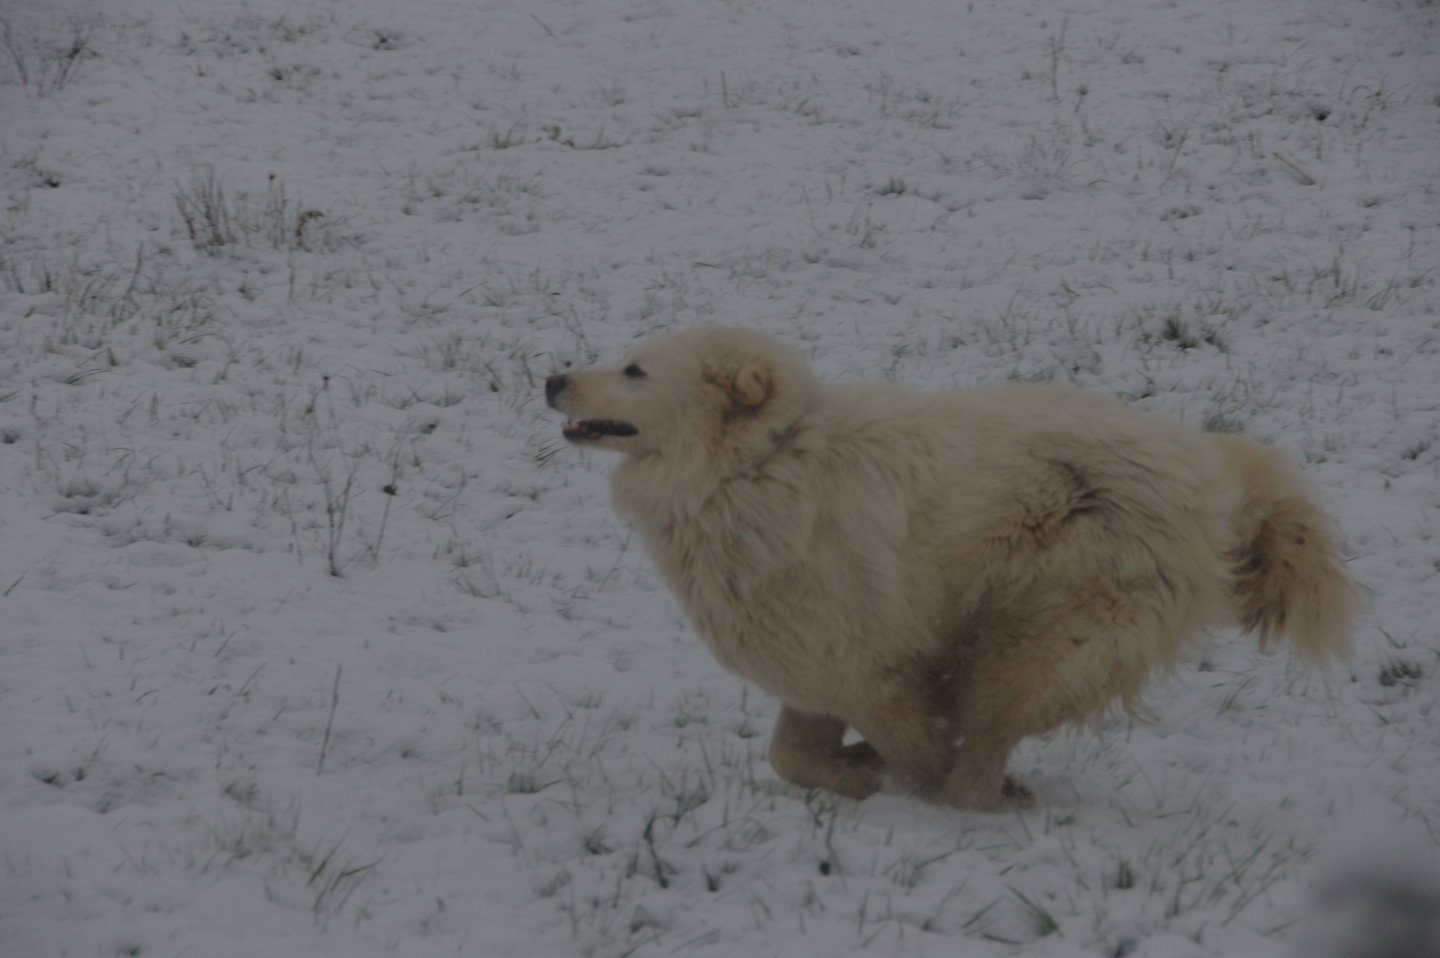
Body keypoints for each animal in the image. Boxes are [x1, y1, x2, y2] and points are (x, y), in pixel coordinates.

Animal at [544, 325, 1353, 800]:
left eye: (636, 370)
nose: (552, 379)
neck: (755, 465)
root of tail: (1210, 482)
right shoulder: (811, 654)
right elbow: (789, 755)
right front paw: (853, 772)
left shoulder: (870, 661)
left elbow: (909, 744)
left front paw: (893, 773)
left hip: (1037, 631)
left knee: (987, 738)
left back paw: (977, 803)